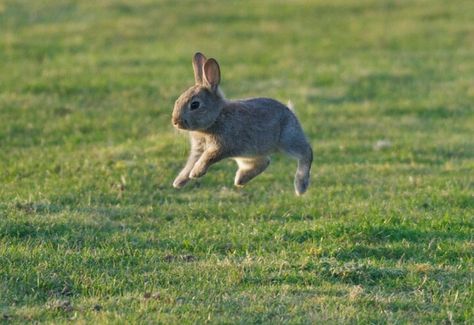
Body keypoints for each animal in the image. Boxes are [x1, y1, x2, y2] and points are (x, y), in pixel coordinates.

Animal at [172, 52, 312, 195]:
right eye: (178, 100)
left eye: (195, 105)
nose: (175, 121)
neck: (216, 118)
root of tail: (290, 111)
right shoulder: (198, 149)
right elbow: (190, 164)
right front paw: (178, 182)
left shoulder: (221, 146)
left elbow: (207, 158)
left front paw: (195, 173)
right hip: (246, 154)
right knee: (264, 161)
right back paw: (240, 180)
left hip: (287, 139)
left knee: (306, 152)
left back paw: (300, 186)